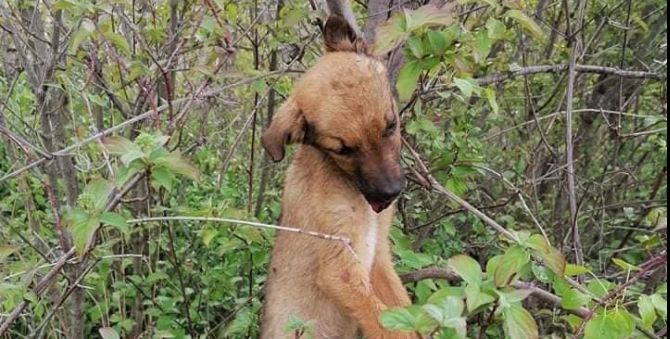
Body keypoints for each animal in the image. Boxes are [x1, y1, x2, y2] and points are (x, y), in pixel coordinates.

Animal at [260, 15, 418, 339]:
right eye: (342, 150)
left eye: (391, 126)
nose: (389, 195)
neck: (349, 185)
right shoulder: (339, 266)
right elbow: (385, 323)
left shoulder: (378, 256)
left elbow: (401, 308)